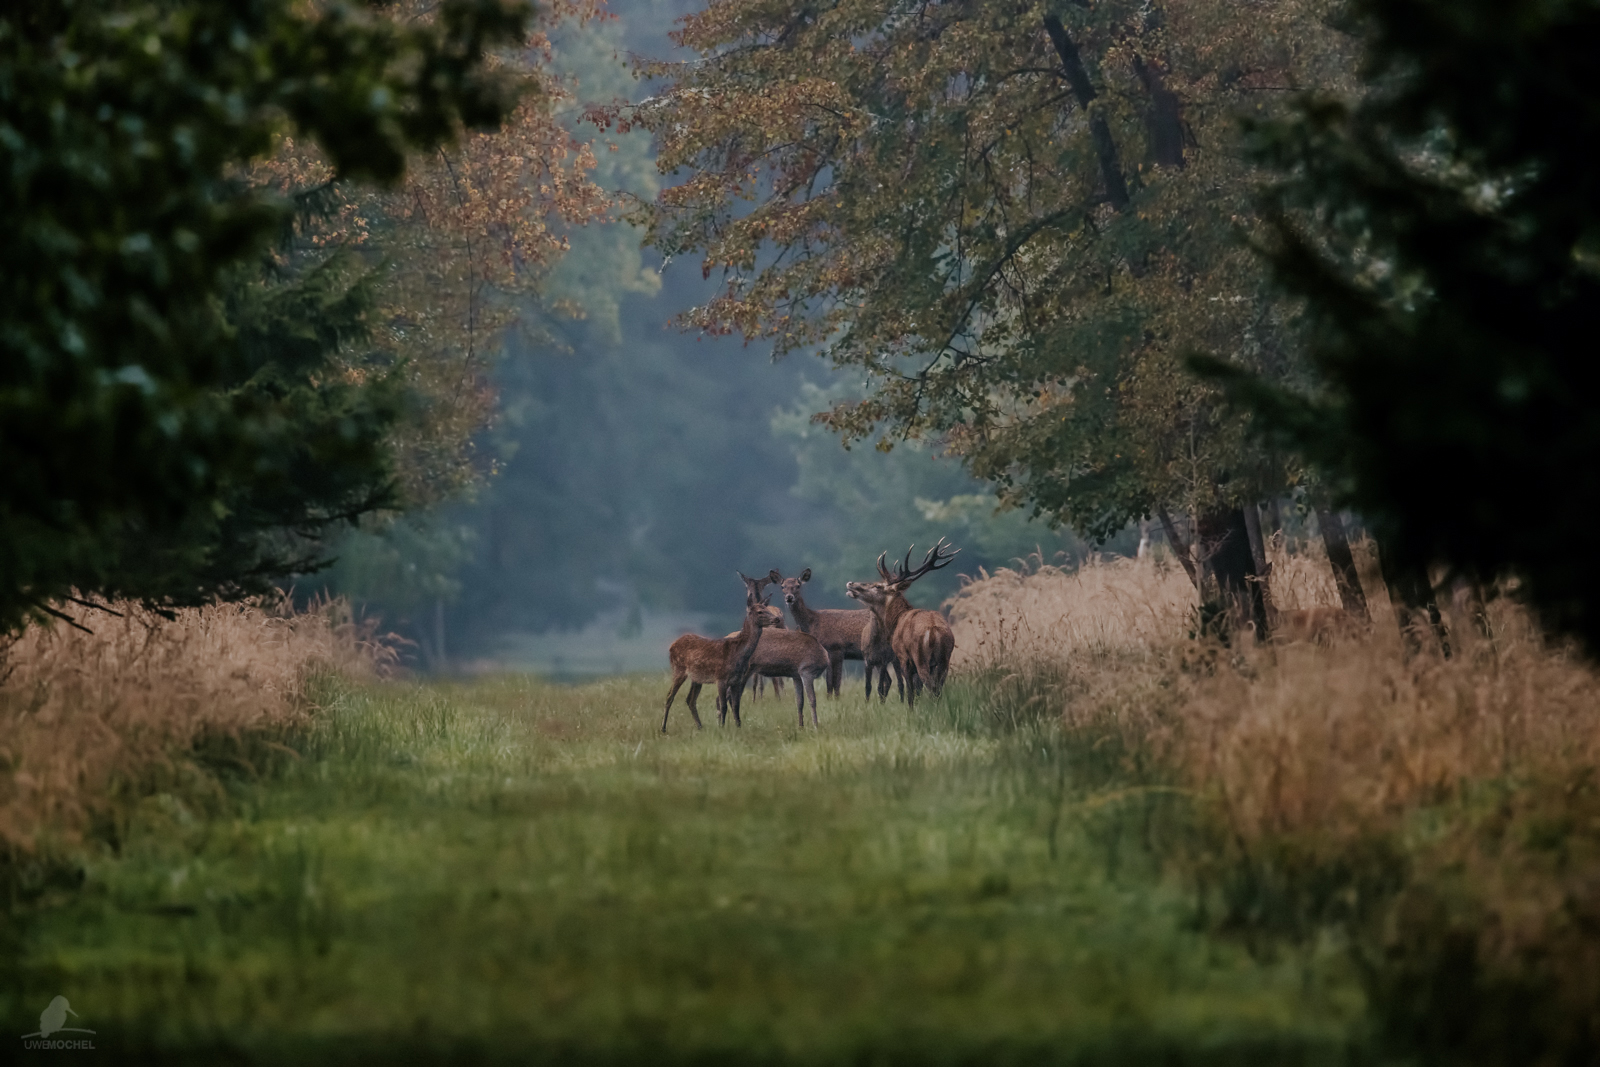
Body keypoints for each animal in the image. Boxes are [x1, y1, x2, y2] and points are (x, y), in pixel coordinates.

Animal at [662, 575, 774, 735]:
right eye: (759, 611)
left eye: (767, 609)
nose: (775, 619)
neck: (738, 653)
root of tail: (671, 646)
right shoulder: (720, 678)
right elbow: (723, 705)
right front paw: (722, 728)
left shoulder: (736, 680)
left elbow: (736, 706)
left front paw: (738, 727)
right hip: (678, 669)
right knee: (669, 696)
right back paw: (663, 728)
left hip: (697, 678)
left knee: (690, 700)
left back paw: (700, 726)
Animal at [764, 566, 876, 700]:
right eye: (782, 586)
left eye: (798, 585)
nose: (789, 597)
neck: (813, 622)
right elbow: (829, 681)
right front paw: (829, 699)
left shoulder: (837, 648)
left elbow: (836, 681)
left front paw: (836, 699)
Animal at [844, 543, 953, 710]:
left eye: (877, 586)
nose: (850, 583)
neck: (895, 621)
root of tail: (935, 631)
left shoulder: (903, 657)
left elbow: (910, 690)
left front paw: (911, 710)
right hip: (945, 659)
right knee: (938, 688)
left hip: (921, 657)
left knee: (930, 686)